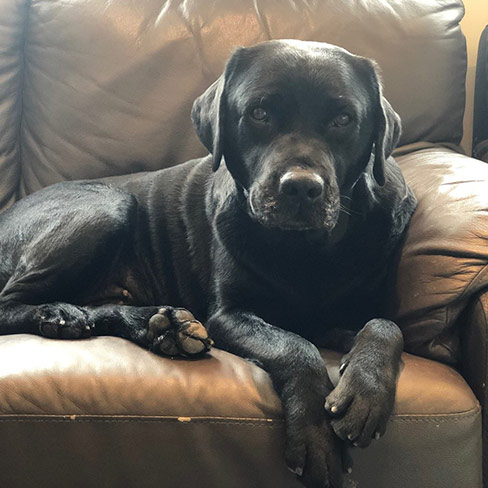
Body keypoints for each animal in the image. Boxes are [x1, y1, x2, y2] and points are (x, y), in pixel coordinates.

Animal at [0, 41, 416, 488]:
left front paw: (366, 391)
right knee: (10, 301)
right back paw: (60, 314)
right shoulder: (229, 315)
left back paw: (164, 327)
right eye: (260, 113)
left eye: (343, 119)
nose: (302, 188)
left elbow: (386, 326)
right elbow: (295, 347)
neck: (303, 250)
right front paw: (317, 440)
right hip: (108, 204)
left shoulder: (343, 315)